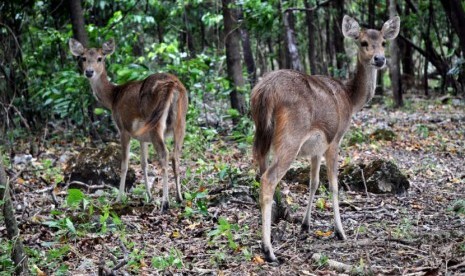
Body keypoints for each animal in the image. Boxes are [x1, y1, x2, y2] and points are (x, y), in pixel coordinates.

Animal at [68, 38, 188, 211]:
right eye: (83, 58)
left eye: (100, 58)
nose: (89, 72)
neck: (113, 97)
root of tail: (173, 84)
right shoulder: (142, 136)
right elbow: (144, 163)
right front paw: (149, 196)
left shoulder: (124, 128)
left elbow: (124, 164)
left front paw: (119, 197)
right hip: (181, 120)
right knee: (176, 156)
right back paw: (179, 198)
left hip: (156, 123)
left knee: (165, 154)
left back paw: (165, 202)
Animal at [250, 16, 398, 262]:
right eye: (364, 42)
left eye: (384, 42)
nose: (380, 59)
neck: (350, 99)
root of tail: (265, 92)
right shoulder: (335, 138)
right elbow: (334, 185)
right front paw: (340, 231)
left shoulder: (316, 148)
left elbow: (314, 183)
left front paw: (305, 226)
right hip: (290, 137)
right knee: (268, 179)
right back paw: (269, 250)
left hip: (261, 136)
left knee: (260, 173)